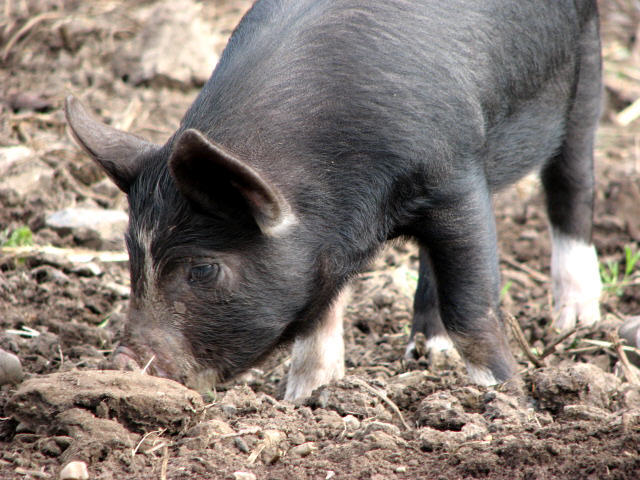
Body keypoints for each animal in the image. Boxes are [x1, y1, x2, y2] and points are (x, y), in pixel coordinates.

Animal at [66, 0, 604, 400]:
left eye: (203, 269)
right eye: (132, 258)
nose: (123, 363)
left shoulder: (456, 176)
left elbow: (471, 310)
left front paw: (512, 401)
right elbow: (322, 306)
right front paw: (303, 398)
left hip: (585, 71)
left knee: (572, 187)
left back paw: (576, 321)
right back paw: (426, 353)